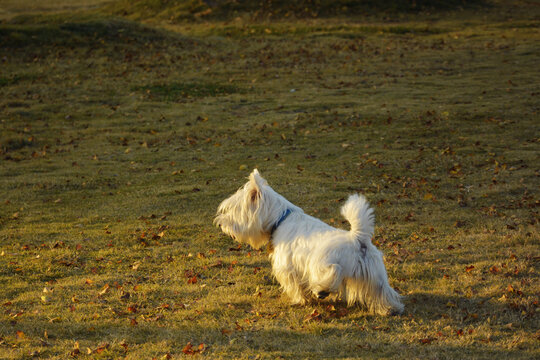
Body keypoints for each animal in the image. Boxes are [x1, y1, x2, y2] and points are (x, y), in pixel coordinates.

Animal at [213, 169, 402, 316]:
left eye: (232, 210)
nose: (221, 224)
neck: (281, 218)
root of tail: (358, 239)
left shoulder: (288, 267)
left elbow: (295, 286)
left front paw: (300, 300)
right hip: (376, 276)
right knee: (383, 293)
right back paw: (390, 309)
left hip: (323, 263)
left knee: (333, 272)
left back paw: (322, 290)